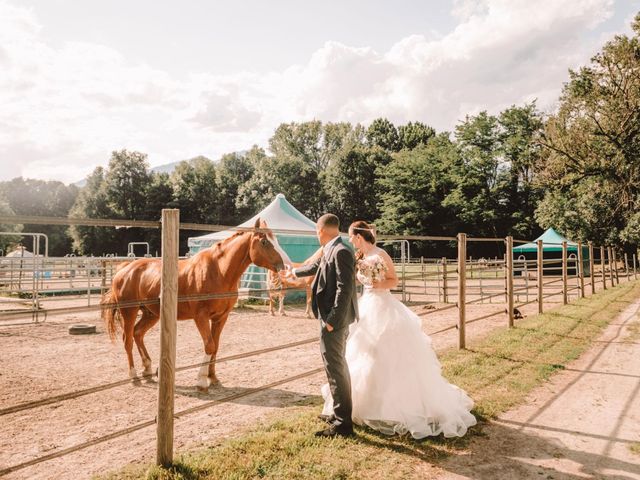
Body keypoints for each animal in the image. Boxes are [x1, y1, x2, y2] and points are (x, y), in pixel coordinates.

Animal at [102, 218, 288, 390]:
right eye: (264, 242)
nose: (285, 266)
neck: (218, 271)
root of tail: (124, 269)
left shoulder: (221, 318)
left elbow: (216, 347)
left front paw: (213, 378)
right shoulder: (201, 317)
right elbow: (209, 346)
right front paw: (202, 380)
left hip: (151, 314)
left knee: (138, 333)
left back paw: (147, 369)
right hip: (129, 311)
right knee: (127, 339)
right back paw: (134, 375)